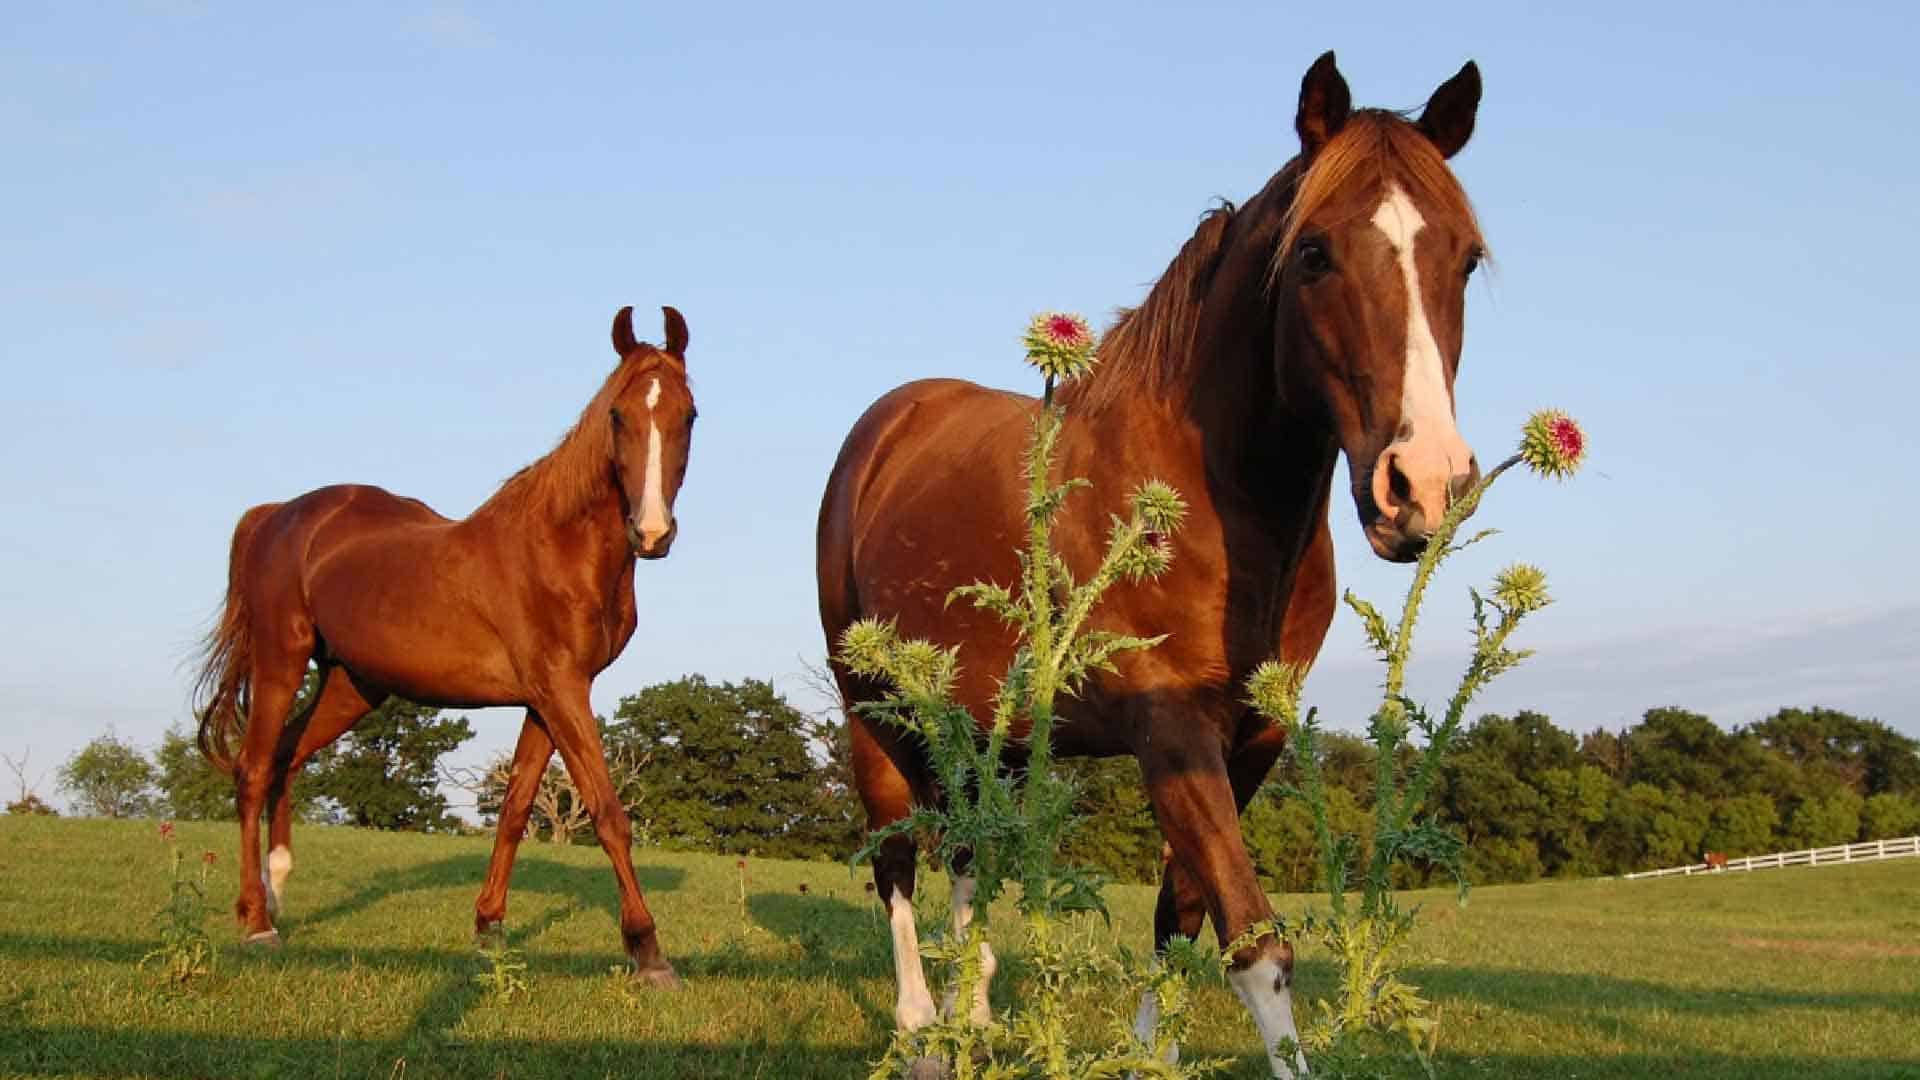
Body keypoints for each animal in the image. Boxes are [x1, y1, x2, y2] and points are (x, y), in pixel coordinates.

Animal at [187, 305, 695, 983]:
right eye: (618, 414)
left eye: (688, 414)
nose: (652, 531)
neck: (558, 545)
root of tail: (272, 515)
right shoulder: (561, 688)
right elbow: (608, 812)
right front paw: (647, 949)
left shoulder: (548, 696)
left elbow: (514, 810)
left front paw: (489, 927)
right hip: (280, 662)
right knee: (253, 769)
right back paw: (255, 922)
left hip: (352, 685)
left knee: (287, 758)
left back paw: (277, 892)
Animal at [817, 52, 1489, 1068]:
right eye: (1315, 253)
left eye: (1466, 258)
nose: (1424, 486)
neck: (1208, 497)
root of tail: (887, 426)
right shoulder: (1169, 729)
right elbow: (1255, 944)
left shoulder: (1250, 739)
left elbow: (1182, 913)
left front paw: (1150, 1055)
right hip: (875, 707)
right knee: (898, 856)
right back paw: (925, 1034)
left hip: (990, 729)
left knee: (969, 848)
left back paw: (977, 1014)